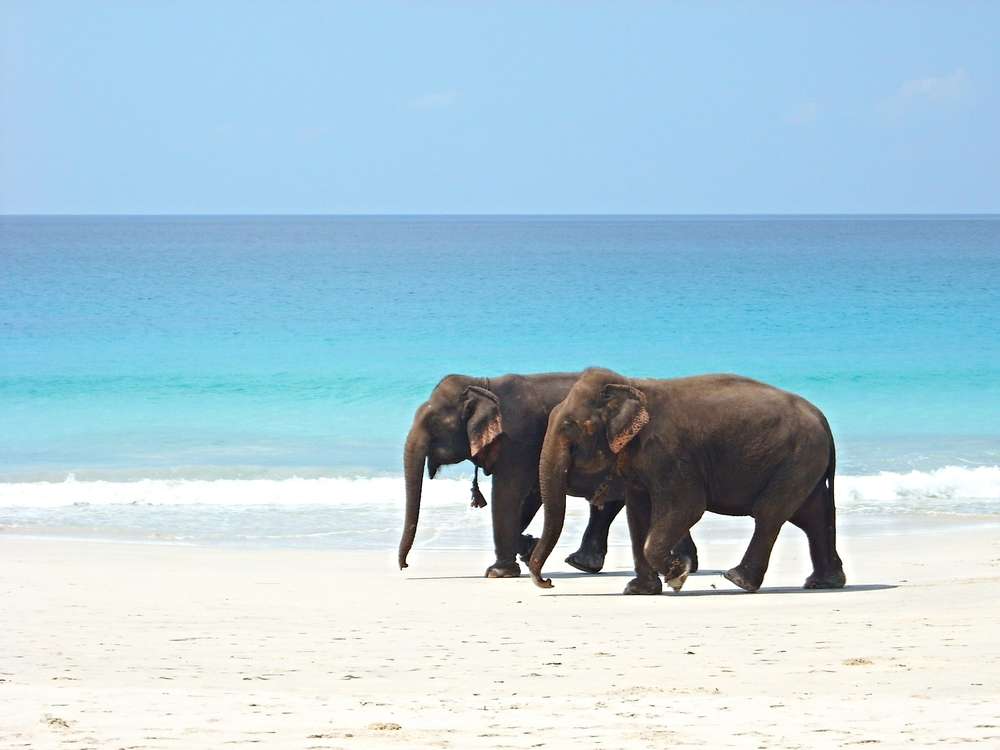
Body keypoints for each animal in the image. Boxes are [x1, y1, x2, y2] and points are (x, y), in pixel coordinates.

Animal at [398, 372, 699, 578]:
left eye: (434, 424)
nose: (405, 566)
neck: (484, 383)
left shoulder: (519, 441)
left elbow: (508, 494)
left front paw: (499, 572)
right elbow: (531, 496)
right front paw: (528, 548)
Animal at [528, 368, 845, 594]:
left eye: (571, 426)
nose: (548, 582)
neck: (632, 385)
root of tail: (823, 419)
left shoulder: (669, 453)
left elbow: (688, 507)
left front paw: (678, 576)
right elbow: (638, 514)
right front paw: (640, 590)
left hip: (798, 459)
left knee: (770, 513)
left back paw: (737, 579)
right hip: (804, 463)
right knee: (812, 516)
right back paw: (824, 583)